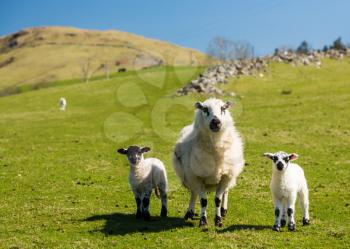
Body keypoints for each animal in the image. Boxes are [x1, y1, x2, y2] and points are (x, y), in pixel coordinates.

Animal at [172, 97, 243, 228]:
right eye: (205, 109)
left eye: (223, 108)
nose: (216, 121)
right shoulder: (196, 177)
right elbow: (203, 200)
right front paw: (203, 221)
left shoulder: (225, 176)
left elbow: (218, 200)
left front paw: (218, 220)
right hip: (189, 176)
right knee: (193, 193)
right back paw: (190, 212)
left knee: (225, 192)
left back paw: (224, 210)